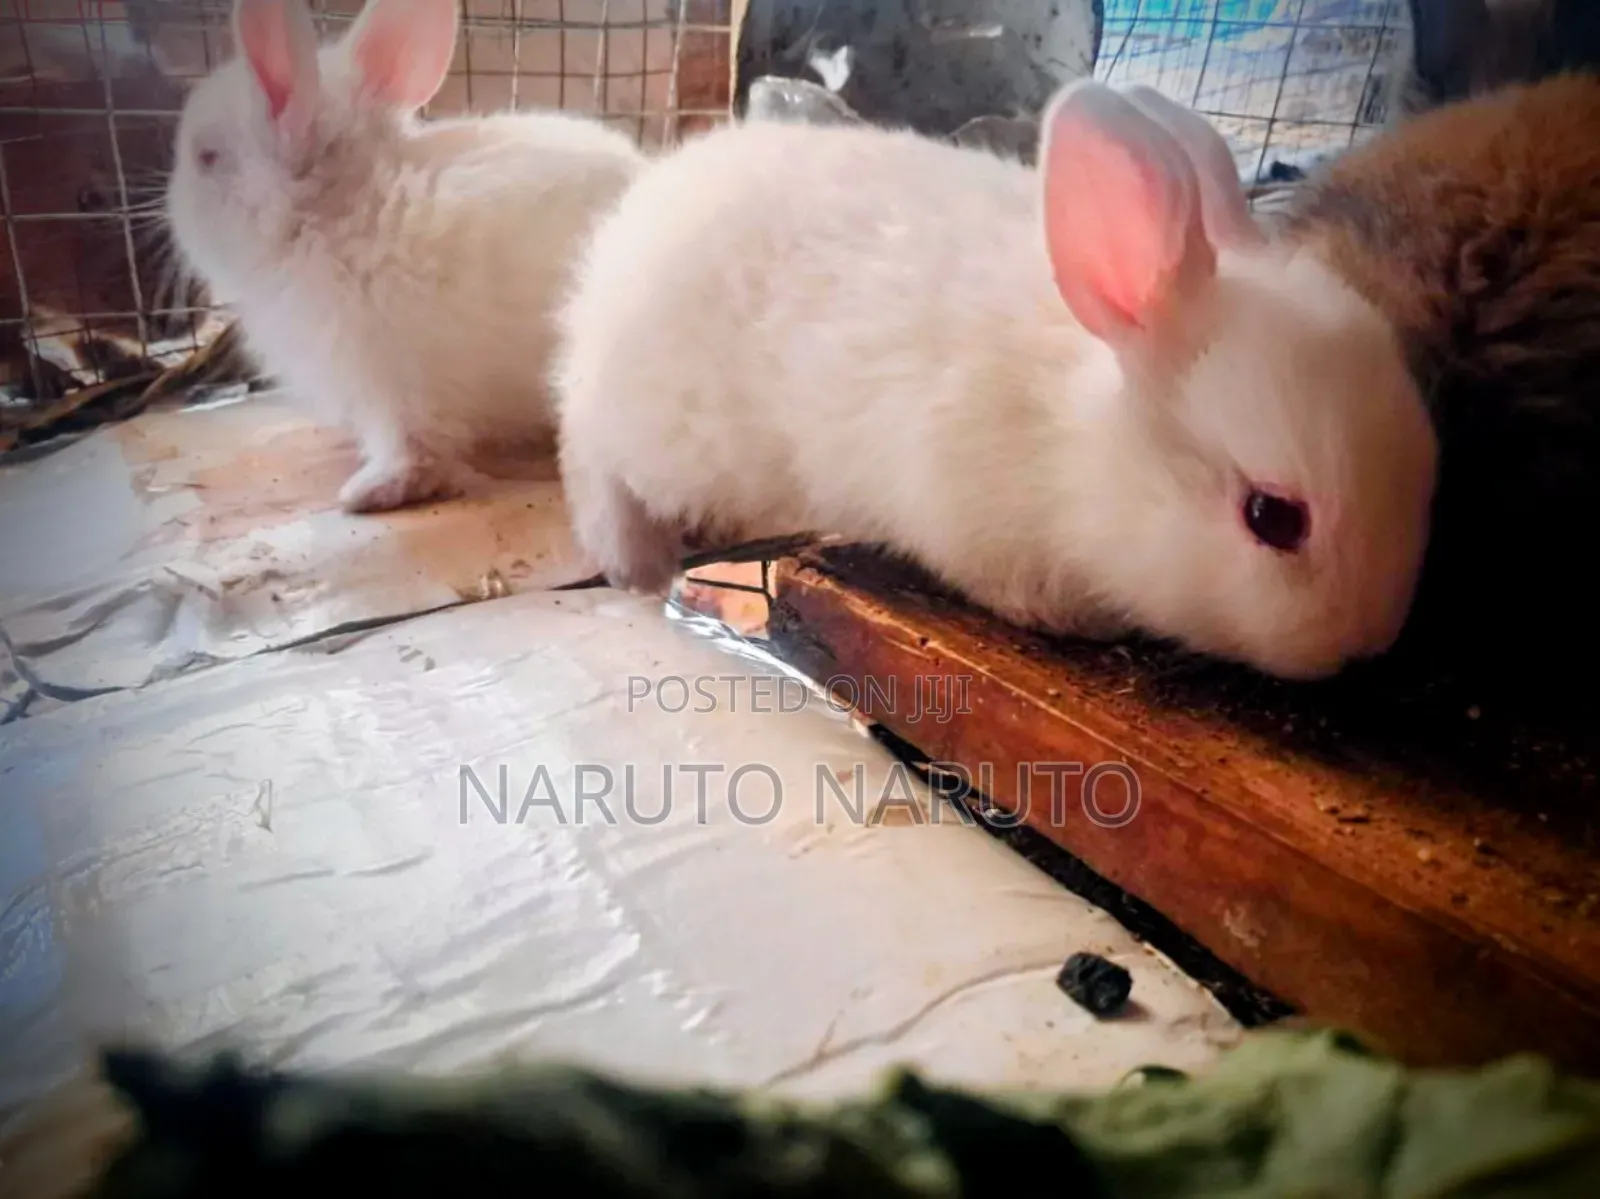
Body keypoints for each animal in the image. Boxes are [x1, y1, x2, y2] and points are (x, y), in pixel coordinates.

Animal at [164, 0, 648, 513]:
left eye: (206, 158)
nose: (170, 211)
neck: (341, 210)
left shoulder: (394, 382)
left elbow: (412, 450)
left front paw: (366, 493)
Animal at [552, 78, 1440, 683]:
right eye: (1272, 517)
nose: (1369, 641)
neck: (1075, 438)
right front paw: (1080, 623)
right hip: (658, 431)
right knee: (586, 447)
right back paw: (636, 564)